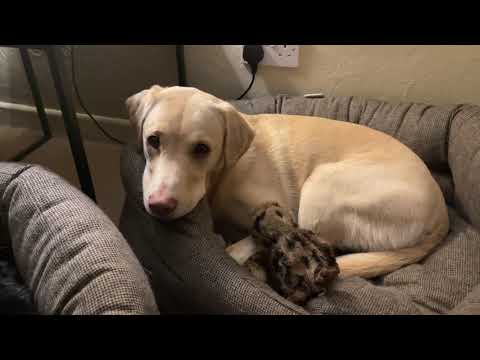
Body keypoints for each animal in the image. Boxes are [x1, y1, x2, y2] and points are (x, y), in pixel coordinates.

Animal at [125, 86, 448, 280]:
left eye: (202, 149)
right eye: (153, 140)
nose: (160, 206)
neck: (224, 173)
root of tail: (441, 214)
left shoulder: (280, 210)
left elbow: (261, 235)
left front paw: (240, 248)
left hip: (321, 187)